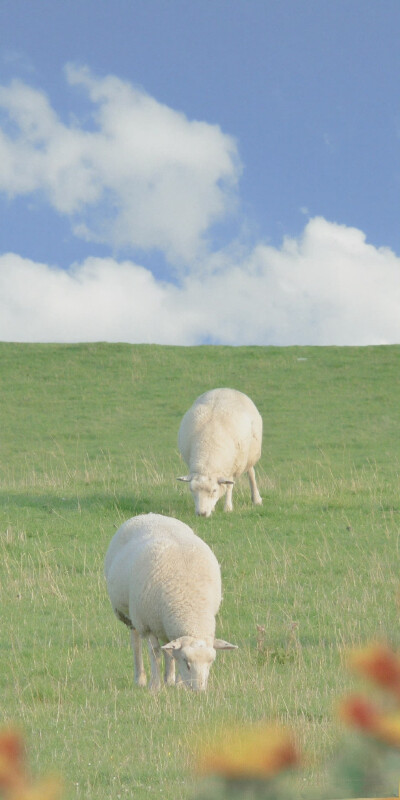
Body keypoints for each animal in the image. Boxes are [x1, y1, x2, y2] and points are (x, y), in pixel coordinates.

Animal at [104, 516, 238, 692]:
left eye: (210, 662)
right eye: (187, 663)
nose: (199, 691)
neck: (190, 606)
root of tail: (149, 515)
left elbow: (171, 653)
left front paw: (177, 684)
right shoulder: (147, 624)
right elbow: (155, 653)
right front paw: (154, 686)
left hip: (162, 623)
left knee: (167, 648)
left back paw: (169, 678)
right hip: (132, 616)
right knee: (136, 643)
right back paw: (140, 678)